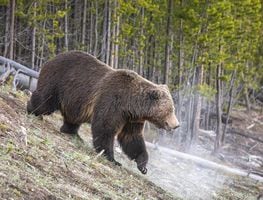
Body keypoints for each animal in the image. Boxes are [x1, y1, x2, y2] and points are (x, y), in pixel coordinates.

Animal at [27, 50, 180, 174]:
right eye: (171, 109)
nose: (176, 125)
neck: (131, 104)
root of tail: (52, 58)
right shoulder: (113, 101)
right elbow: (105, 128)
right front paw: (112, 159)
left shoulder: (132, 119)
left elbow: (132, 138)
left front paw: (143, 165)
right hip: (59, 81)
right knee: (45, 100)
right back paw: (32, 110)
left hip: (75, 99)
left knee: (73, 117)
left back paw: (73, 133)